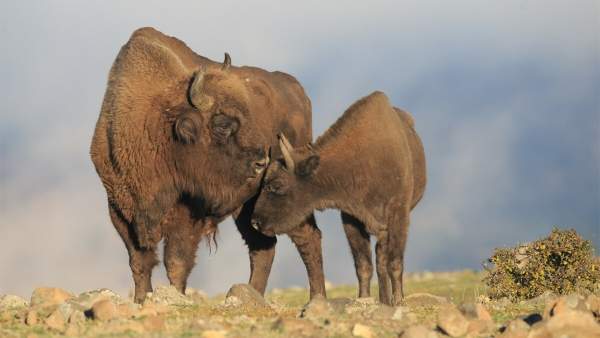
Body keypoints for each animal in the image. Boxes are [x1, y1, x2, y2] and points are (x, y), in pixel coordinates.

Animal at [89, 27, 326, 302]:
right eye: (222, 124)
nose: (261, 162)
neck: (157, 123)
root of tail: (298, 91)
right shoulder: (121, 210)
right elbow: (139, 262)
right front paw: (141, 300)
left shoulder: (189, 211)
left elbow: (176, 261)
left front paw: (177, 298)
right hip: (248, 208)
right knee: (263, 247)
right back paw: (253, 295)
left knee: (308, 238)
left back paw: (317, 298)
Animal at [251, 91, 424, 304]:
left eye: (276, 185)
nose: (255, 222)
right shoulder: (351, 219)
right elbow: (363, 265)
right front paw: (364, 299)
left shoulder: (398, 215)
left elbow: (395, 263)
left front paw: (398, 300)